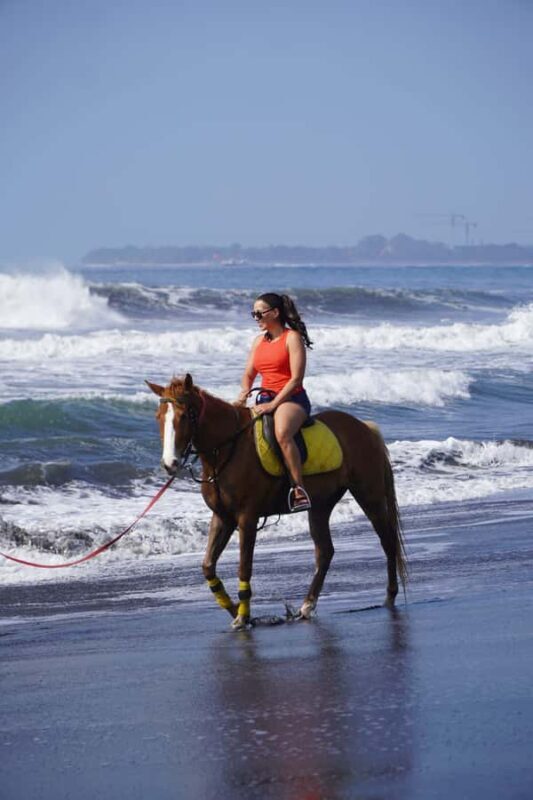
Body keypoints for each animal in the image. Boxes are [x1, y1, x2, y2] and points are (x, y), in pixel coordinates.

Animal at [146, 374, 407, 628]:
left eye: (183, 416)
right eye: (159, 417)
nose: (170, 464)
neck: (227, 450)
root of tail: (364, 427)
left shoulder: (247, 518)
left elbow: (244, 566)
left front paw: (243, 616)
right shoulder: (222, 518)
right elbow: (208, 566)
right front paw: (236, 611)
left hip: (369, 496)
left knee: (387, 541)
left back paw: (389, 596)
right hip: (321, 506)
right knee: (325, 551)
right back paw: (307, 605)